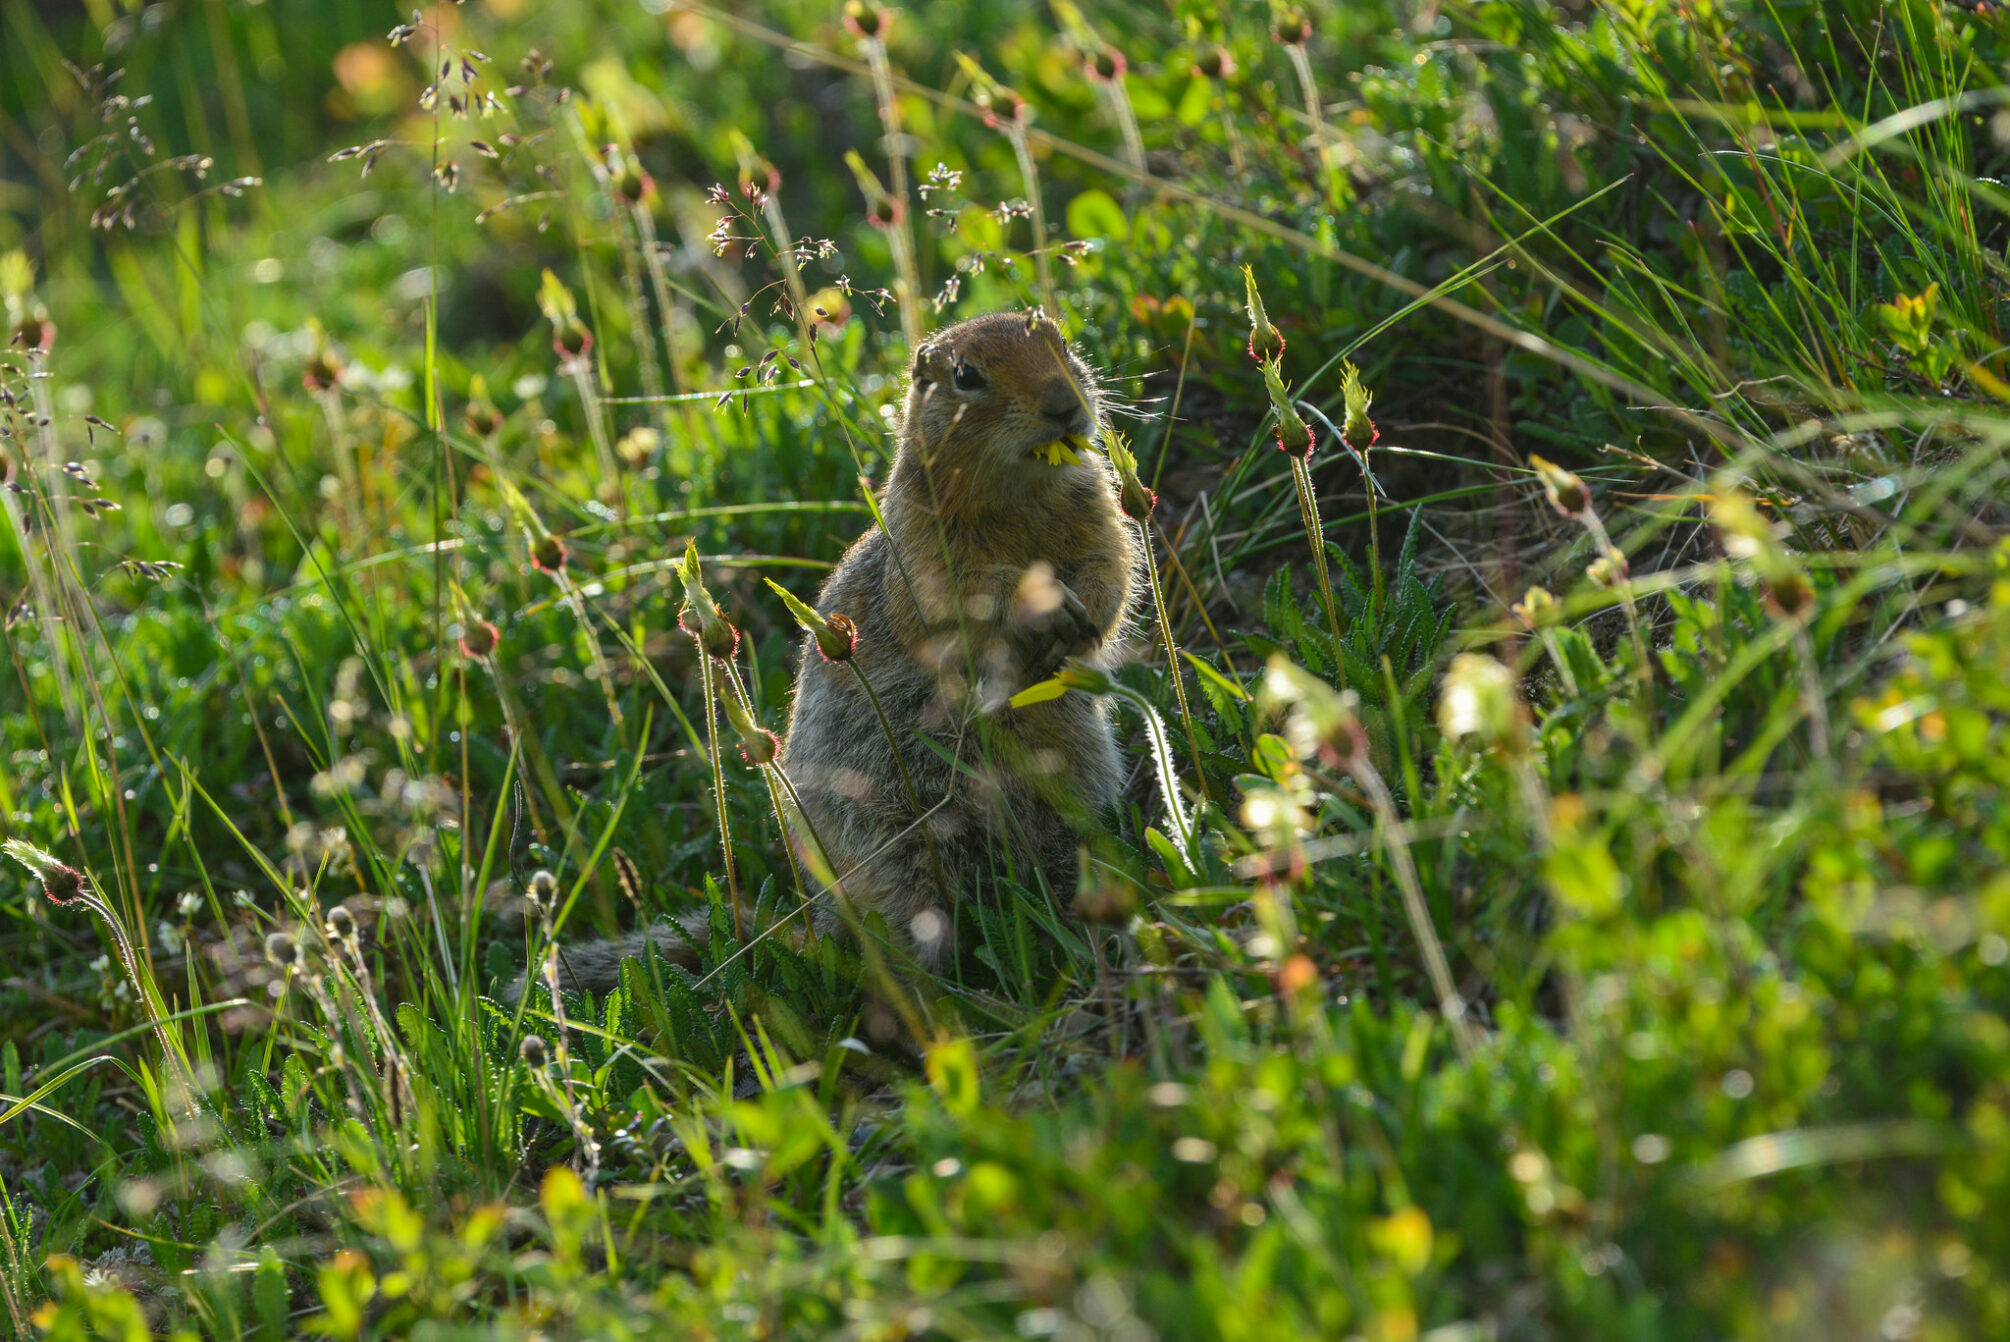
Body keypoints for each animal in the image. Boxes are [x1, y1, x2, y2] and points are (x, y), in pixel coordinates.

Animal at [518, 307, 1141, 996]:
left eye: (1063, 342)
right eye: (966, 376)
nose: (1065, 406)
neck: (1023, 489)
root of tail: (816, 913)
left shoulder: (1098, 511)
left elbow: (1112, 566)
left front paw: (1084, 616)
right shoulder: (924, 553)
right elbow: (965, 594)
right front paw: (1047, 602)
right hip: (890, 848)